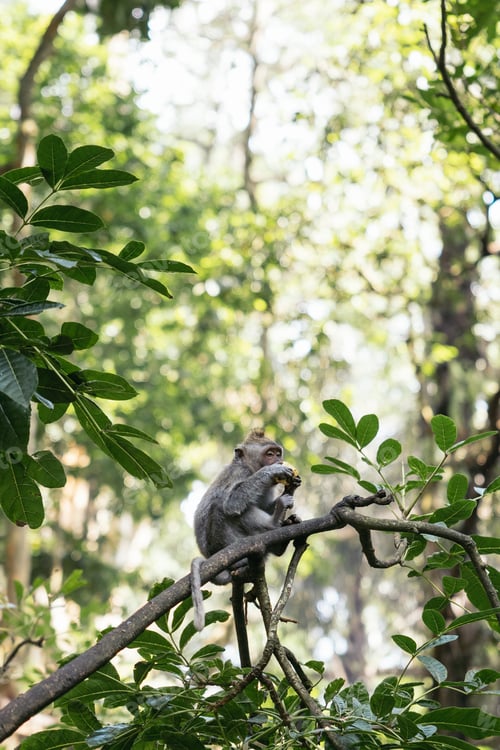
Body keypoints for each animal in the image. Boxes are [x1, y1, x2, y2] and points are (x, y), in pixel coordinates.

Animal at [190, 429, 301, 639]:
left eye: (277, 453)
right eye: (269, 454)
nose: (278, 460)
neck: (250, 467)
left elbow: (263, 504)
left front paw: (292, 486)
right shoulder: (240, 473)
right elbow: (232, 503)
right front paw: (271, 472)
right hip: (225, 541)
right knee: (222, 506)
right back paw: (273, 524)